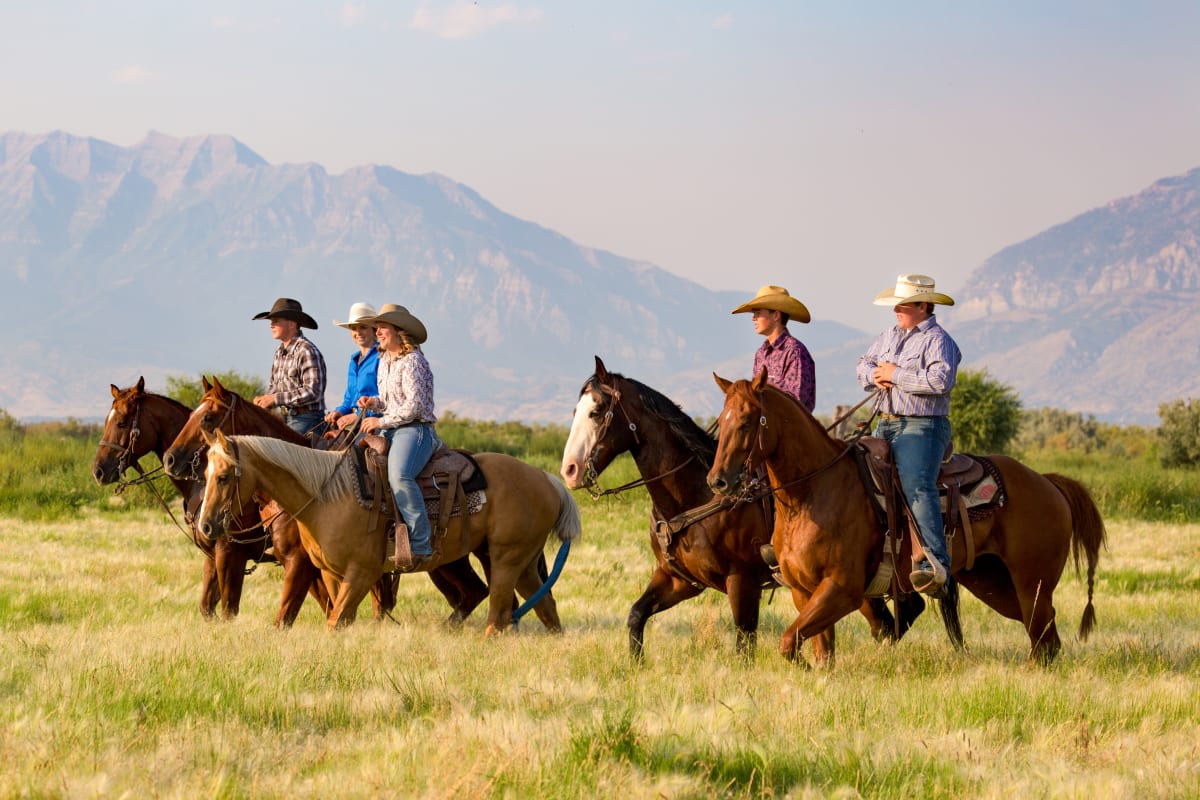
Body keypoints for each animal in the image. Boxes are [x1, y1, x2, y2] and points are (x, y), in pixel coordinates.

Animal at [92, 376, 333, 623]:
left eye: (121, 422)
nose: (98, 471)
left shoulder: (231, 554)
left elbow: (228, 610)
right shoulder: (212, 555)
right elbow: (207, 607)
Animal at [194, 429, 578, 633]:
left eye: (224, 476)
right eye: (205, 473)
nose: (206, 525)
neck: (328, 496)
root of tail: (547, 480)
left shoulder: (362, 574)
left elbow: (334, 620)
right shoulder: (331, 574)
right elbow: (338, 619)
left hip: (505, 559)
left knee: (498, 611)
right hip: (522, 562)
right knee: (545, 607)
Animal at [556, 359, 921, 662]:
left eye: (597, 412)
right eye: (575, 410)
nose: (570, 471)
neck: (693, 496)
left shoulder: (741, 580)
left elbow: (744, 643)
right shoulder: (679, 580)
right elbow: (636, 615)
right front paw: (637, 665)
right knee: (892, 619)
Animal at [700, 371, 1104, 666]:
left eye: (747, 421)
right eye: (722, 419)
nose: (717, 480)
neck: (813, 493)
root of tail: (1047, 483)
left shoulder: (842, 588)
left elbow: (788, 641)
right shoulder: (804, 590)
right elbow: (816, 649)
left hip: (1032, 583)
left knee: (1044, 639)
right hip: (994, 583)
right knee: (1045, 638)